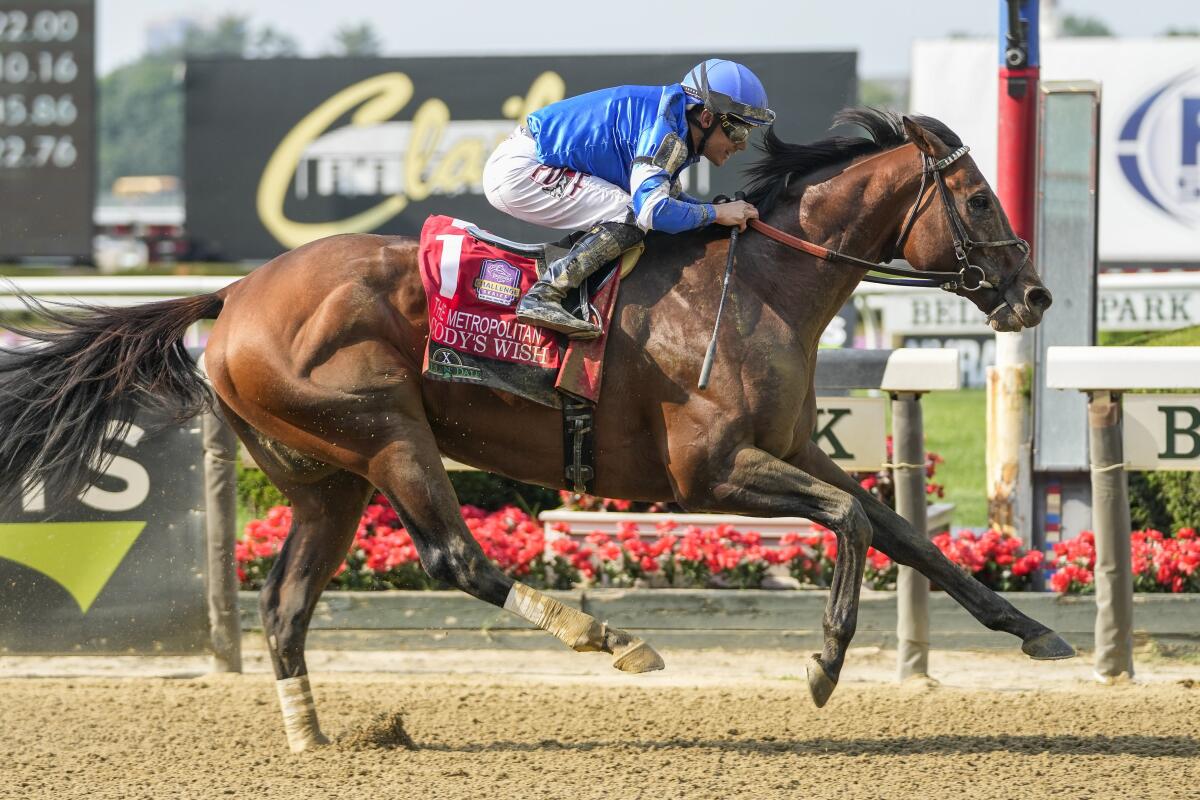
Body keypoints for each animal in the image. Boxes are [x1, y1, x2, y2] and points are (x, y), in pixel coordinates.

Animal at [0, 109, 1070, 753]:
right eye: (980, 197)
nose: (1033, 293)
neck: (762, 285)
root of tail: (233, 293)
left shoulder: (796, 454)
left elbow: (900, 531)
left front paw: (1034, 630)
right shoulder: (713, 473)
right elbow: (851, 526)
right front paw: (825, 663)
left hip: (323, 478)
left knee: (285, 605)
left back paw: (312, 737)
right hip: (386, 431)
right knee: (455, 559)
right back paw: (609, 636)